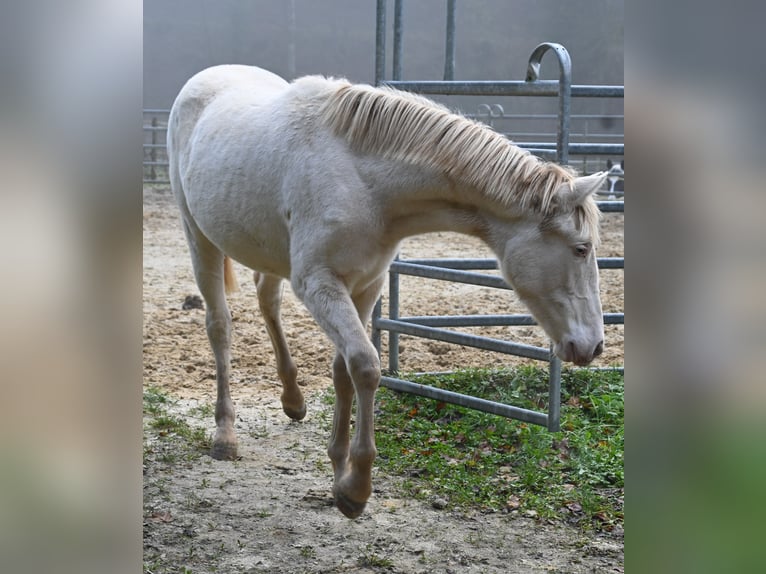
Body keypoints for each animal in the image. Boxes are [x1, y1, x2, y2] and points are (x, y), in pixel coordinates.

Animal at [166, 64, 608, 520]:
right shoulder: (319, 283)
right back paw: (225, 434)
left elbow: (342, 370)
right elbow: (365, 366)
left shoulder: (367, 284)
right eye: (581, 248)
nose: (593, 346)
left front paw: (338, 473)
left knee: (267, 301)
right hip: (198, 236)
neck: (363, 181)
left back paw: (293, 399)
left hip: (267, 251)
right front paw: (356, 488)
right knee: (220, 327)